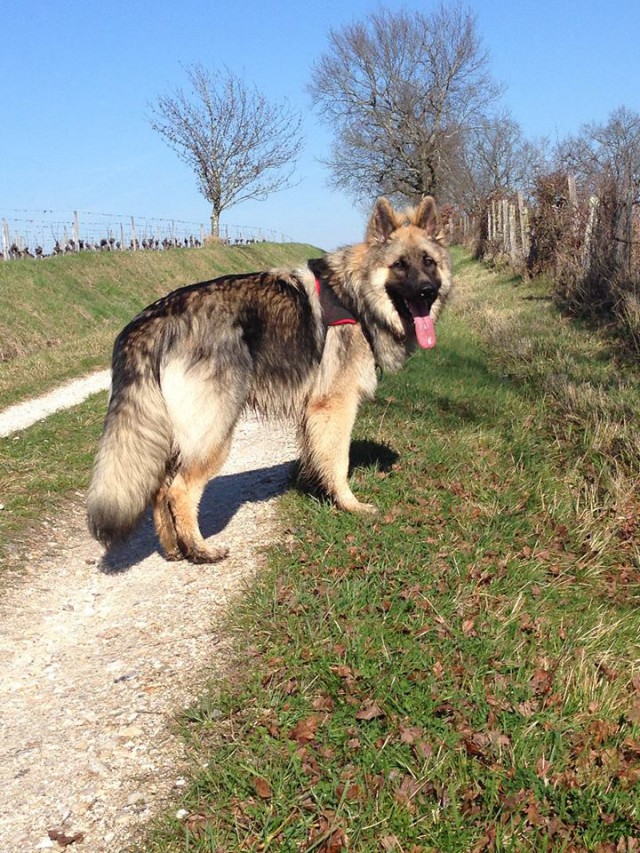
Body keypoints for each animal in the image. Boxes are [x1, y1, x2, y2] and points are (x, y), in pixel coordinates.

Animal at [87, 196, 452, 564]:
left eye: (429, 262)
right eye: (400, 265)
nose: (427, 291)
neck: (355, 294)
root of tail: (154, 320)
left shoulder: (312, 411)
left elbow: (314, 454)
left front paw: (314, 489)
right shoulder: (335, 406)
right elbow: (338, 459)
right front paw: (349, 504)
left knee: (160, 489)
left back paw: (175, 548)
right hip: (215, 431)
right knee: (179, 490)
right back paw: (200, 549)